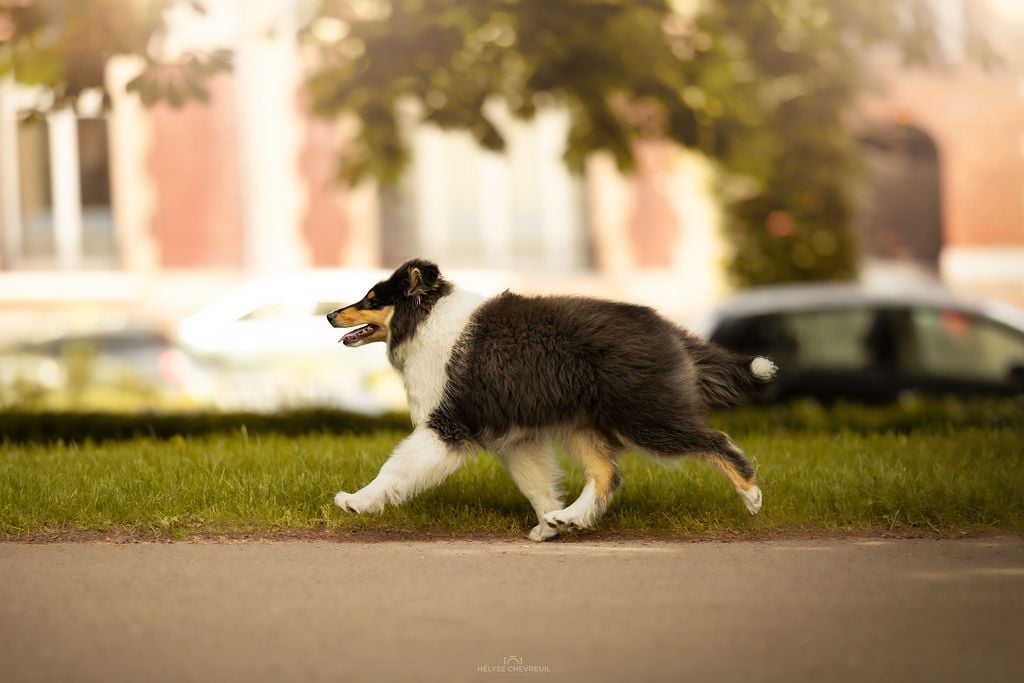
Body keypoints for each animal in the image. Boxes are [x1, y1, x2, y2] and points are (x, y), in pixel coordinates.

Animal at [327, 259, 774, 540]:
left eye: (372, 300)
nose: (330, 315)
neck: (425, 321)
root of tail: (669, 329)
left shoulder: (448, 424)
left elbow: (395, 469)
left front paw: (355, 502)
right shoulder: (517, 437)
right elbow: (536, 486)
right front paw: (549, 527)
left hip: (644, 416)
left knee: (715, 440)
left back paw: (751, 496)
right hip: (584, 425)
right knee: (607, 475)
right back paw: (569, 518)